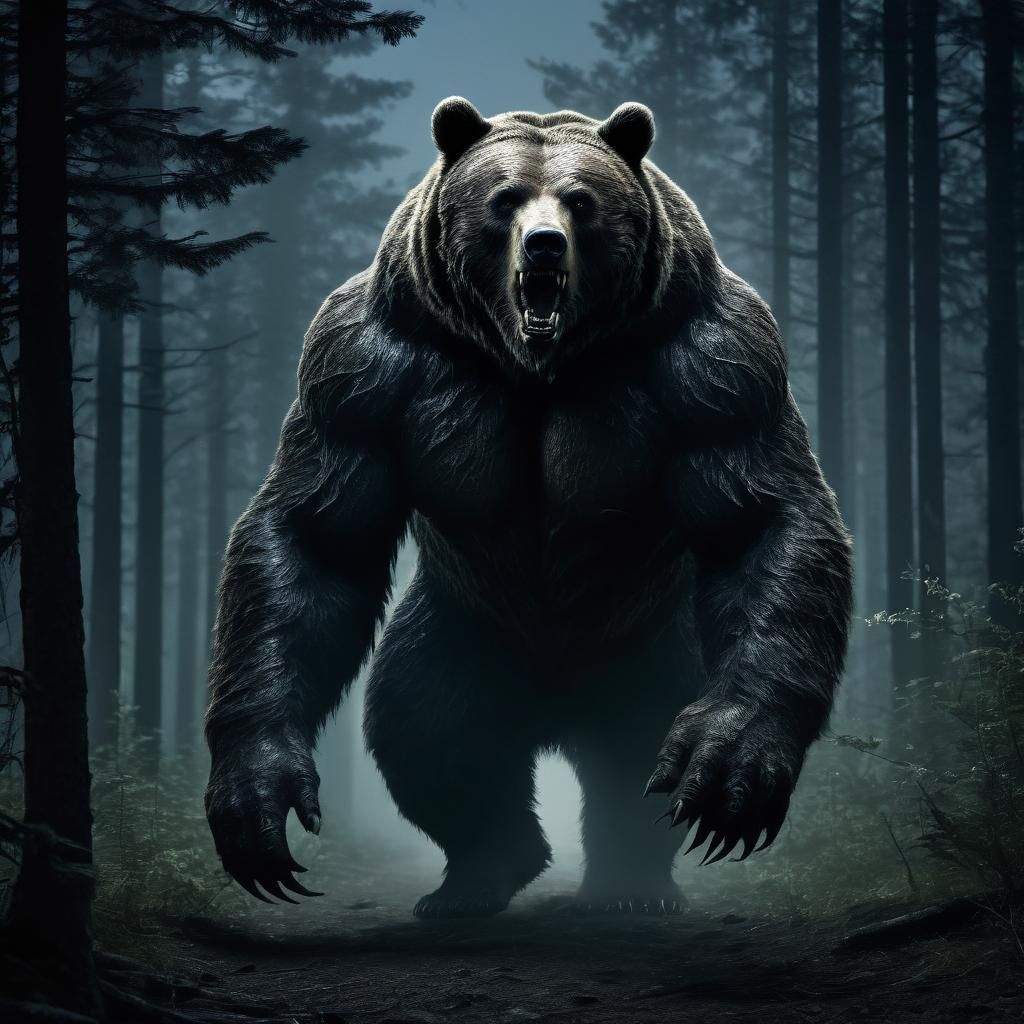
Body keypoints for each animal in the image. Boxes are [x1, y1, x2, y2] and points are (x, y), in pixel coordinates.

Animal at [204, 97, 853, 918]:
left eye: (580, 200)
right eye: (504, 197)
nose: (544, 245)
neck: (539, 363)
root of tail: (556, 715)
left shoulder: (715, 360)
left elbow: (760, 516)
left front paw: (735, 760)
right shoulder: (363, 365)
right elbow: (316, 534)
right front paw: (257, 793)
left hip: (654, 645)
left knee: (636, 754)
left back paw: (631, 884)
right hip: (464, 636)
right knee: (432, 732)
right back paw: (479, 874)